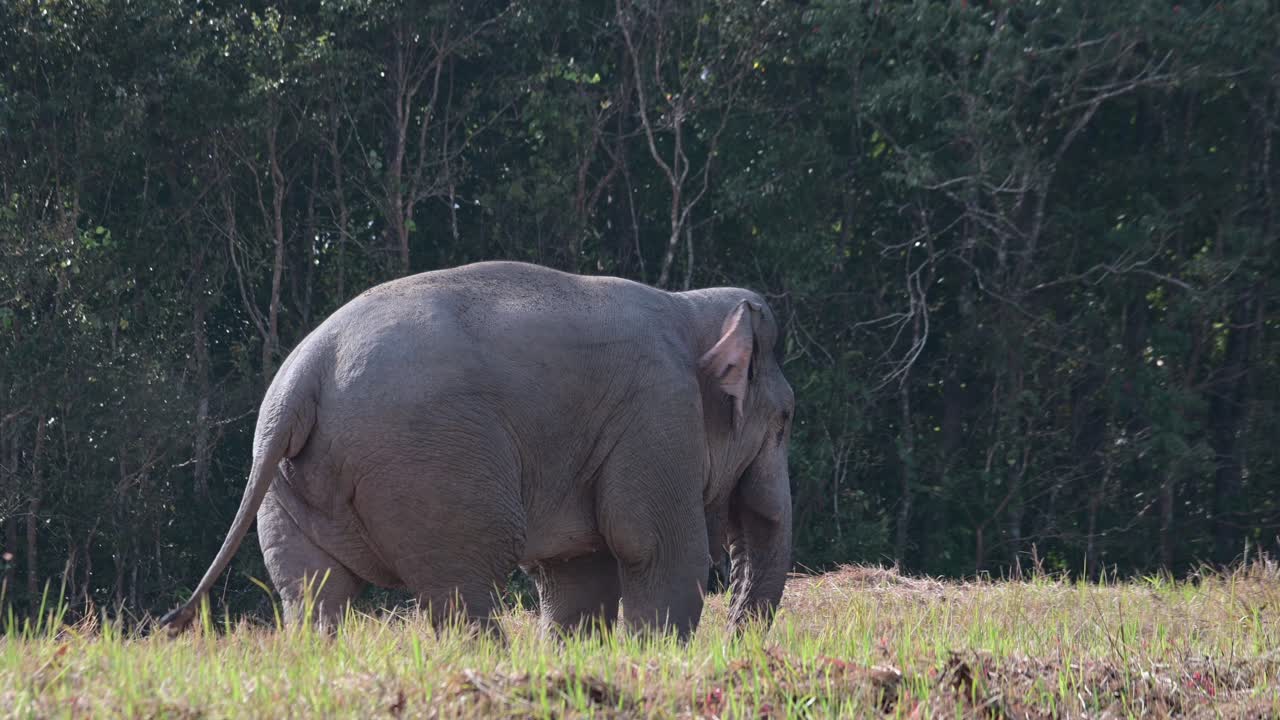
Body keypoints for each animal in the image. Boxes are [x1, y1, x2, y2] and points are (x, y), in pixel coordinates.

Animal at [159, 260, 794, 639]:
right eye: (786, 420)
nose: (736, 642)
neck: (689, 306)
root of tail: (303, 375)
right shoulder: (658, 415)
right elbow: (660, 552)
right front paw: (655, 654)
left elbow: (577, 572)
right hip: (431, 466)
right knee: (463, 583)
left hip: (289, 484)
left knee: (313, 593)